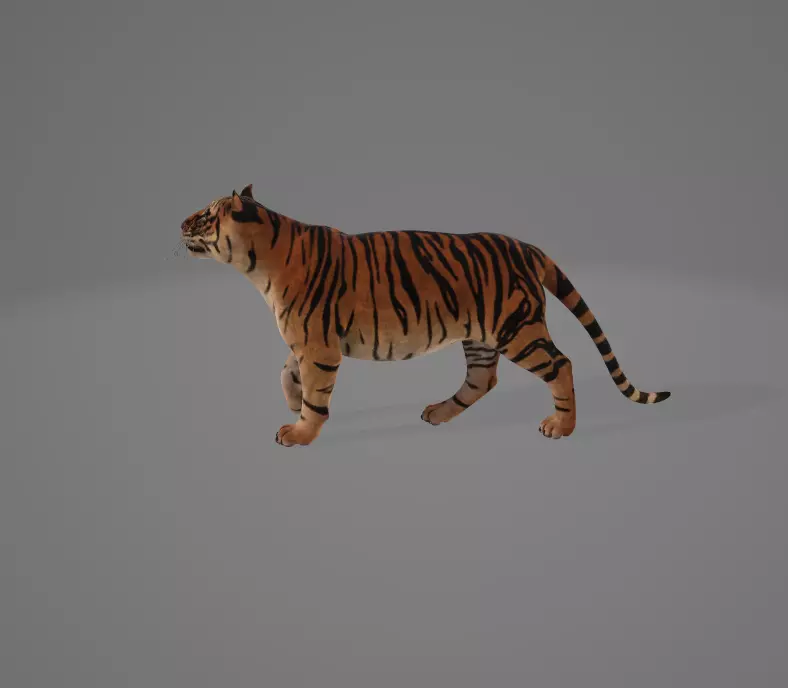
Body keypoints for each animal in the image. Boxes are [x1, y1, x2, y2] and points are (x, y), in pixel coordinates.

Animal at [179, 184, 670, 447]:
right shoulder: (306, 342)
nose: (180, 221)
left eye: (205, 216)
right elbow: (285, 373)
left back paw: (560, 426)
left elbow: (316, 395)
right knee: (483, 379)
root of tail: (525, 246)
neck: (260, 264)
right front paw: (292, 402)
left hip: (518, 329)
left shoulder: (319, 345)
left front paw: (299, 431)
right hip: (482, 336)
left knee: (560, 364)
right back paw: (437, 413)